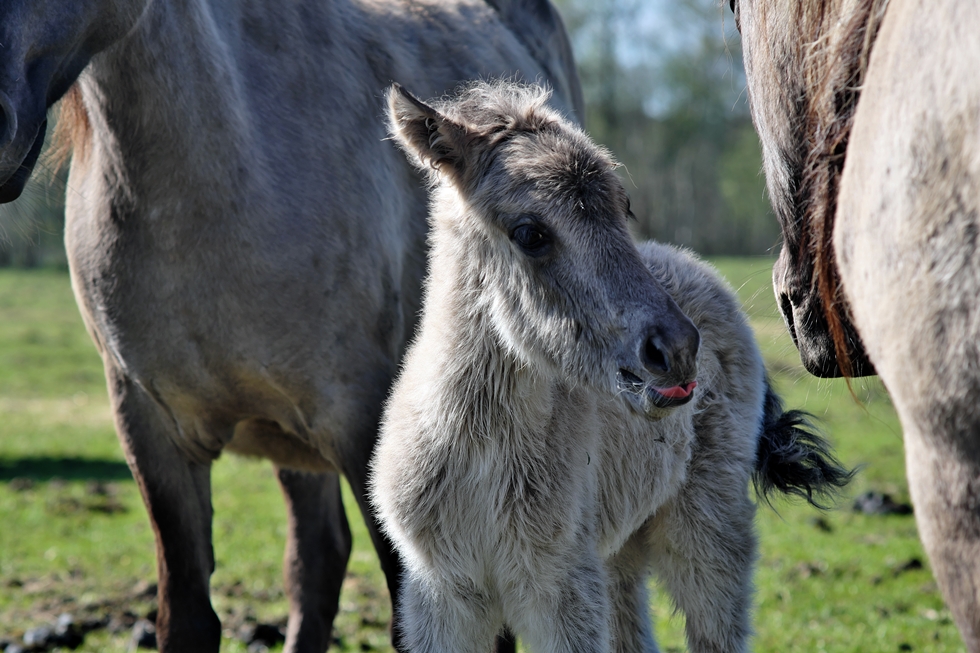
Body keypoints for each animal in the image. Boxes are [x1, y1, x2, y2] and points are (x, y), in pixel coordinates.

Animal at [370, 81, 848, 652]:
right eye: (529, 233)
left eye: (624, 206)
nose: (677, 349)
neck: (479, 459)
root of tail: (692, 264)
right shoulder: (440, 598)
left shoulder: (561, 591)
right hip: (618, 550)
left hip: (707, 530)